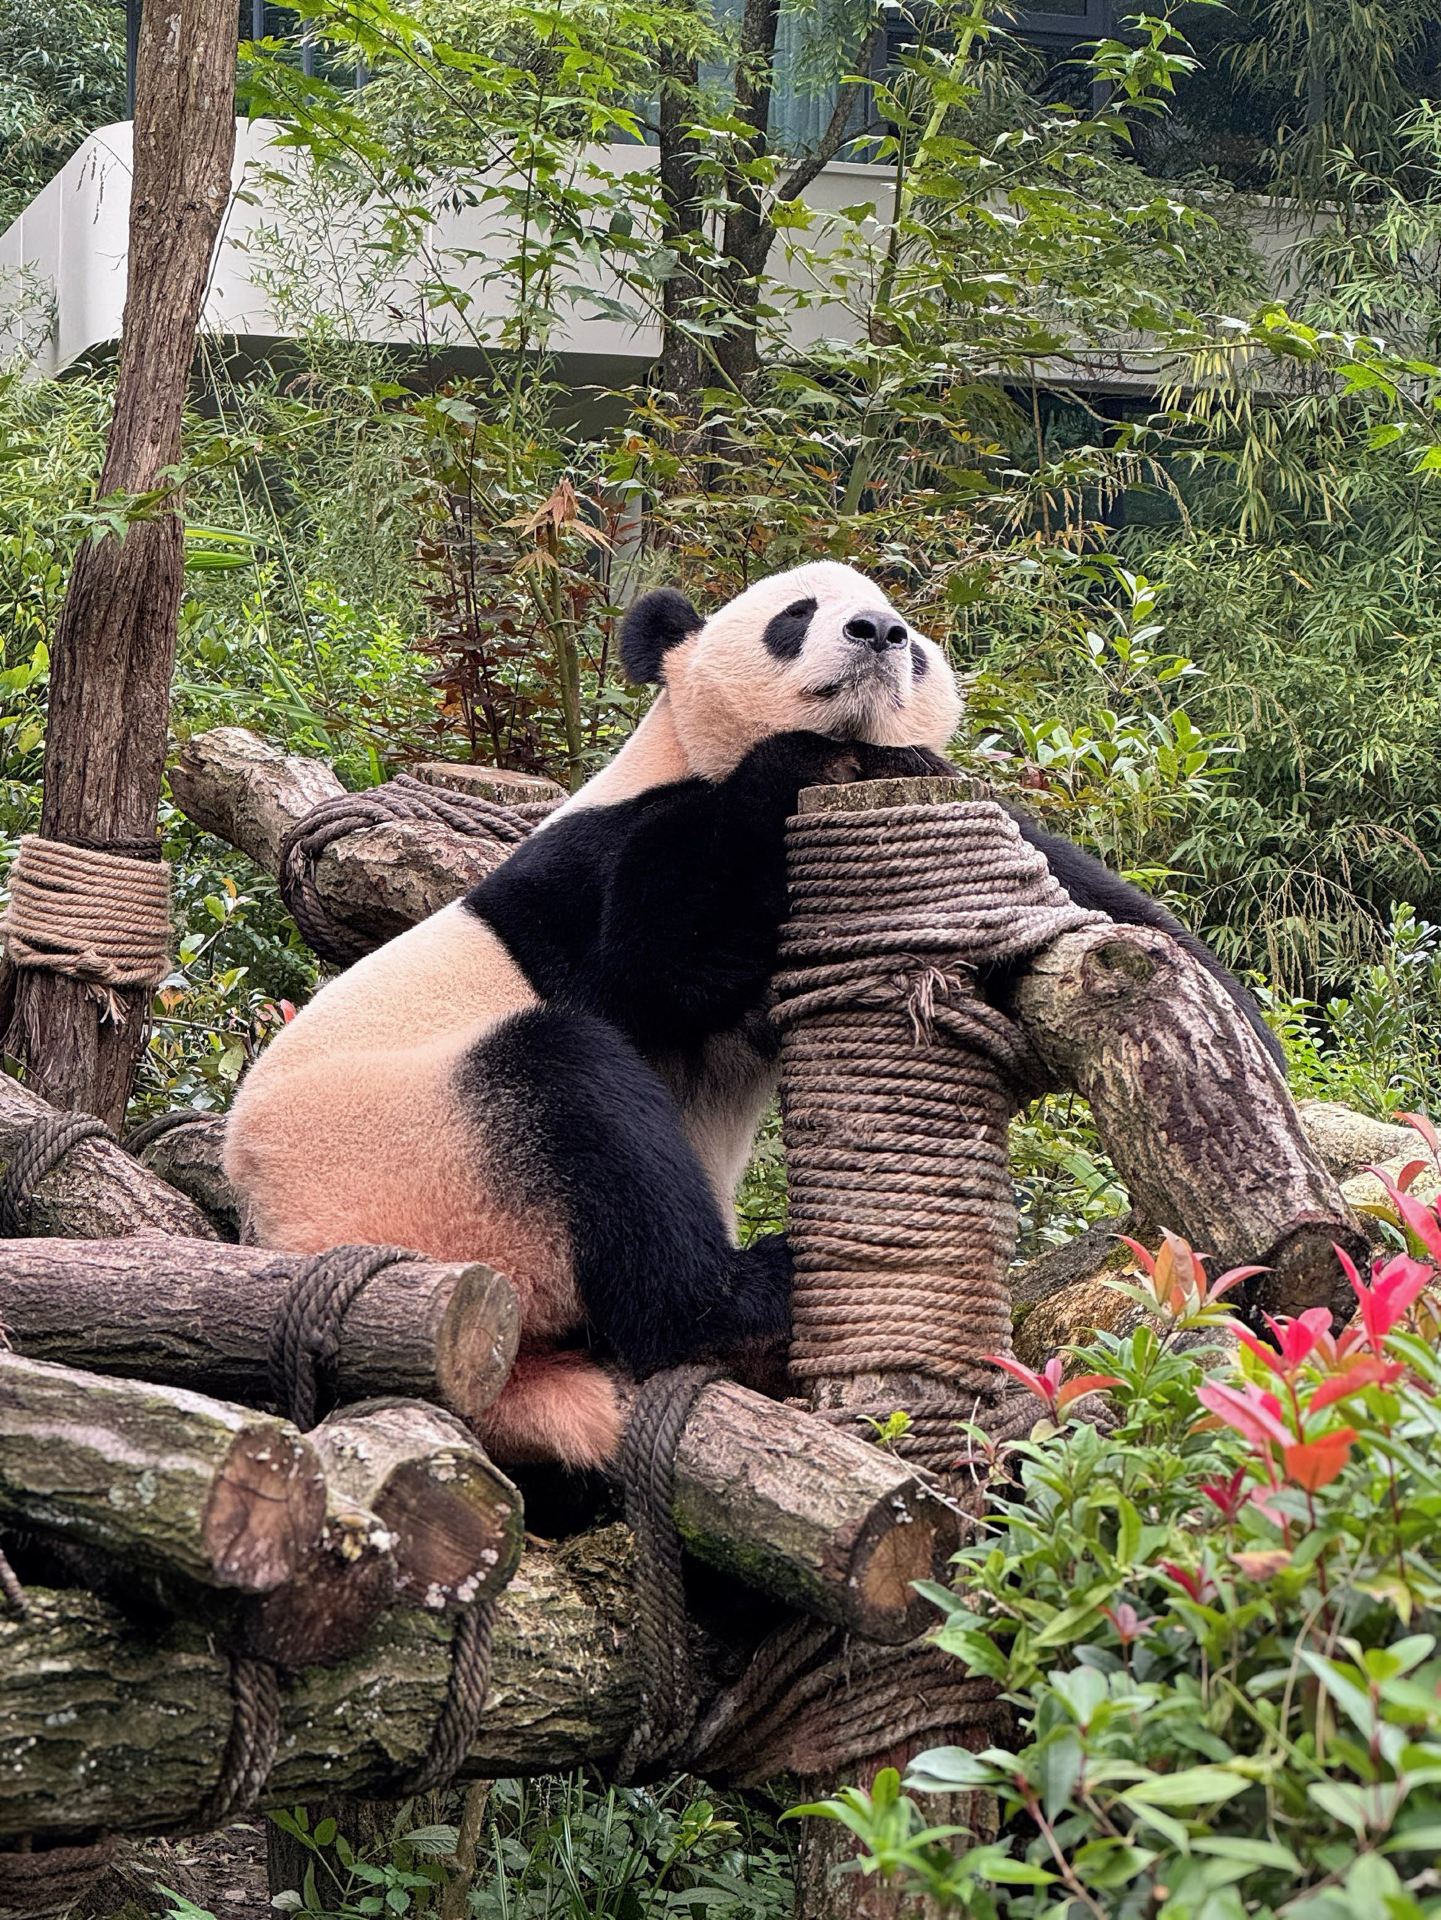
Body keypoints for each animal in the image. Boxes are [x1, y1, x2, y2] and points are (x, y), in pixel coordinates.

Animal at [225, 560, 1278, 1470]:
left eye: (906, 630)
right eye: (795, 615)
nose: (877, 633)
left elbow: (1093, 910)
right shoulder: (603, 854)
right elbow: (656, 957)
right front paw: (793, 760)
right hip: (422, 1159)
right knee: (571, 1095)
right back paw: (747, 1288)